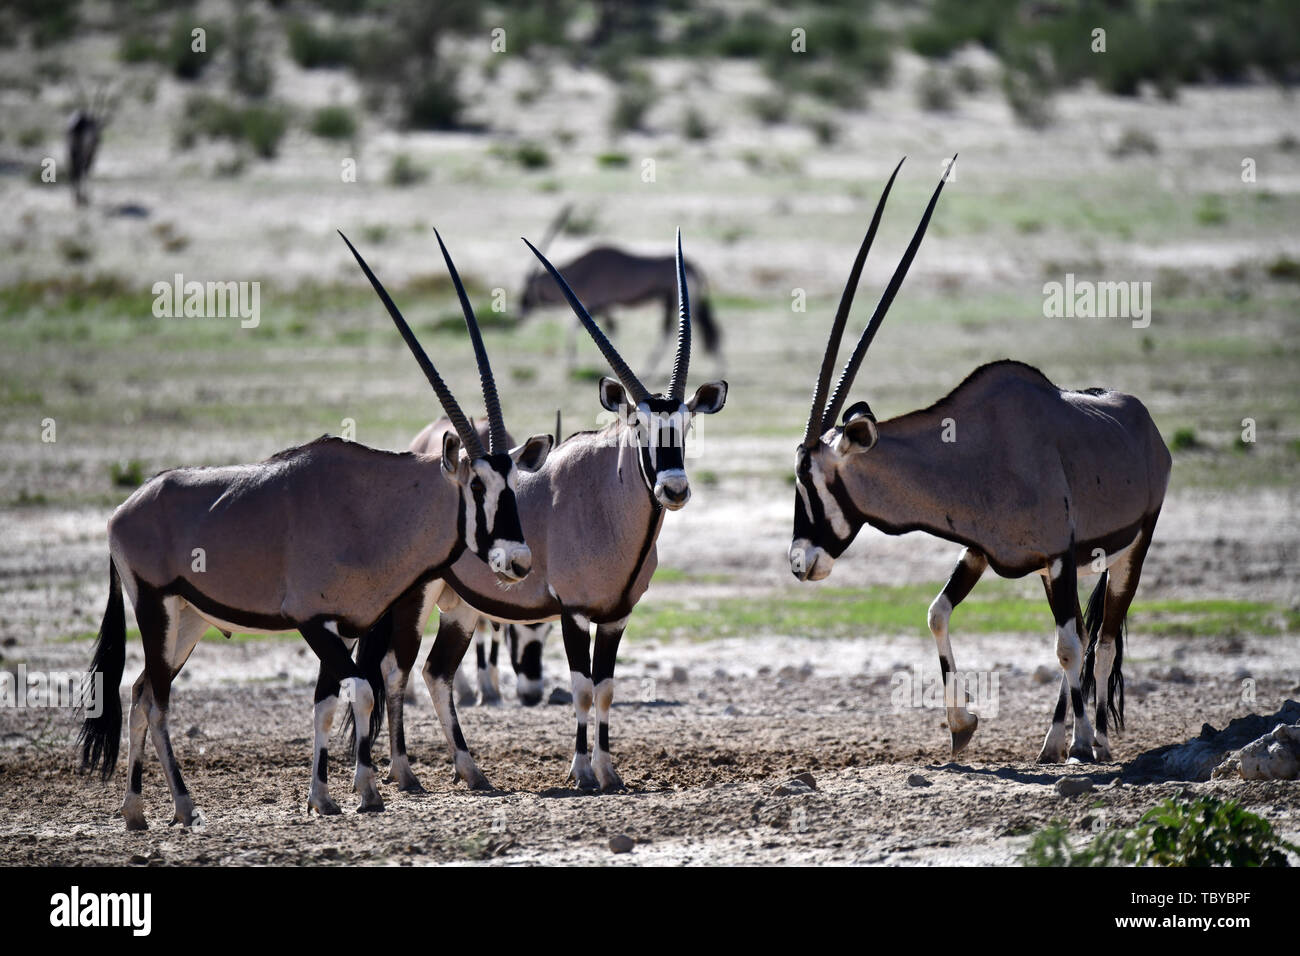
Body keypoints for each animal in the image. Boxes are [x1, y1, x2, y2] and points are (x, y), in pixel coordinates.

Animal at [79, 231, 548, 832]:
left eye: (514, 483)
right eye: (478, 487)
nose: (518, 560)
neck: (372, 506)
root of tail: (124, 510)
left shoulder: (342, 627)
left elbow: (329, 701)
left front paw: (328, 795)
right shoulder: (312, 621)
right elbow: (361, 691)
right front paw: (364, 792)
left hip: (186, 621)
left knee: (139, 693)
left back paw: (142, 811)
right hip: (156, 610)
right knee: (155, 700)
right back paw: (176, 805)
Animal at [361, 231, 728, 790]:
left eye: (685, 426)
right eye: (638, 426)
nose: (674, 488)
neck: (608, 504)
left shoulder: (616, 617)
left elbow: (605, 688)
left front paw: (609, 772)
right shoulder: (573, 612)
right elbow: (581, 687)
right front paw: (582, 772)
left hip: (460, 606)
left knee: (435, 672)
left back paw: (471, 771)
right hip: (415, 598)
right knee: (395, 670)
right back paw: (404, 773)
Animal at [785, 160, 1175, 764]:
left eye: (810, 479)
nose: (800, 563)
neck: (979, 447)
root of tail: (1144, 423)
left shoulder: (1058, 557)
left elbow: (1068, 646)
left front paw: (1082, 744)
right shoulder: (981, 551)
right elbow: (937, 612)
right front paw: (962, 726)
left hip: (1132, 550)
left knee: (1102, 639)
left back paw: (1097, 742)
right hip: (1070, 567)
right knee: (1086, 637)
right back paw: (1052, 741)